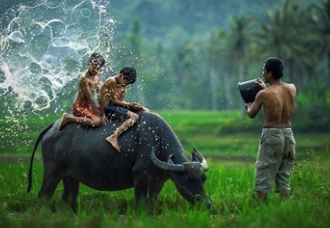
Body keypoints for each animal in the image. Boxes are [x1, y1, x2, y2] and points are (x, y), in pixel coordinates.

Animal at [29, 112, 214, 212]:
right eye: (188, 179)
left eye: (203, 179)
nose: (207, 205)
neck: (158, 142)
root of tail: (52, 126)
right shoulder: (140, 176)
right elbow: (141, 201)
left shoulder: (158, 182)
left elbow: (152, 202)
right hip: (52, 170)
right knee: (44, 194)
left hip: (71, 177)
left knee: (68, 197)